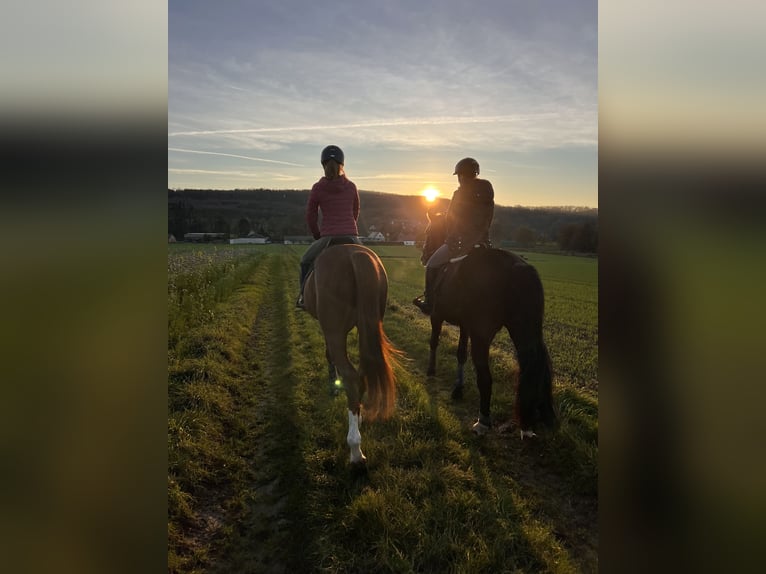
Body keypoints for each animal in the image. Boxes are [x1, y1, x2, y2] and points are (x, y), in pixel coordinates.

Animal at [304, 245, 400, 466]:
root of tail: (355, 254)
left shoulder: (329, 331)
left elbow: (329, 355)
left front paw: (333, 384)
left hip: (335, 332)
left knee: (351, 376)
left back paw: (355, 448)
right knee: (362, 373)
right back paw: (359, 414)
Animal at [420, 214, 560, 438]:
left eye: (428, 231)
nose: (424, 255)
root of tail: (520, 269)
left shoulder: (437, 316)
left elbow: (434, 341)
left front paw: (431, 370)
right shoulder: (465, 325)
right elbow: (460, 354)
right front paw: (458, 388)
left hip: (482, 335)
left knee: (485, 377)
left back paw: (483, 421)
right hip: (525, 331)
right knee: (536, 364)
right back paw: (538, 419)